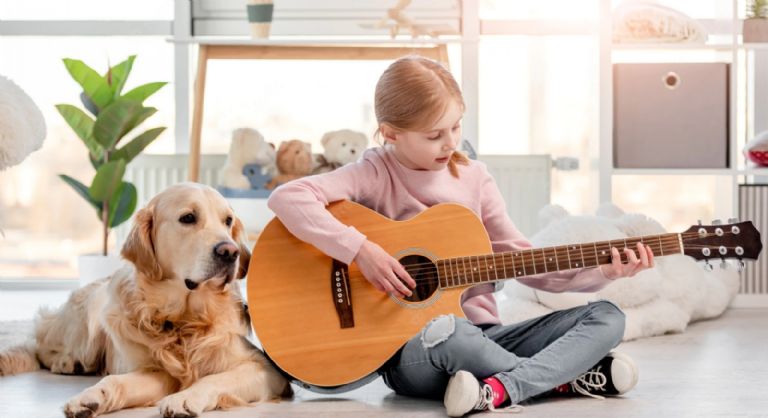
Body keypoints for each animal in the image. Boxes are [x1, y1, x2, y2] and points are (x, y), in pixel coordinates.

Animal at [0, 185, 292, 416]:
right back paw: (68, 362)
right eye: (188, 218)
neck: (182, 319)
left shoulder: (265, 371)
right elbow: (115, 381)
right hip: (92, 314)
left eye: (228, 221)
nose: (230, 252)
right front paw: (87, 398)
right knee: (41, 344)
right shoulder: (154, 368)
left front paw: (185, 398)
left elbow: (213, 379)